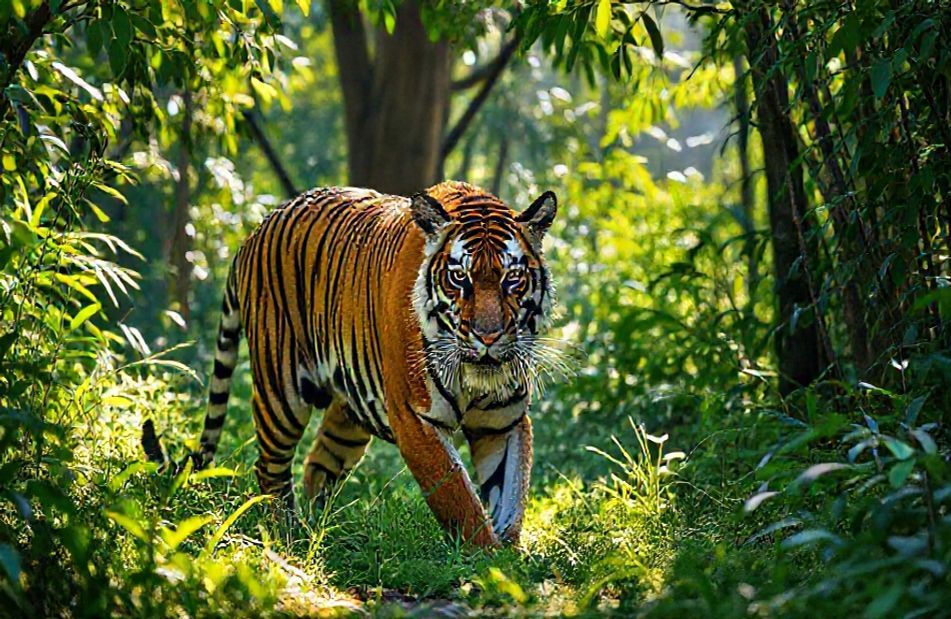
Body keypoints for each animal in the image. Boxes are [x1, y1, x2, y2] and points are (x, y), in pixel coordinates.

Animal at [143, 180, 565, 547]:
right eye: (459, 278)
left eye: (512, 279)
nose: (488, 336)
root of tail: (255, 231)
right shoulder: (415, 418)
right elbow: (458, 496)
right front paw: (484, 557)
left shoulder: (504, 420)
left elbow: (510, 494)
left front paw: (508, 561)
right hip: (281, 393)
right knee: (270, 467)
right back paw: (287, 534)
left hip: (349, 414)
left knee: (317, 464)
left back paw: (320, 529)